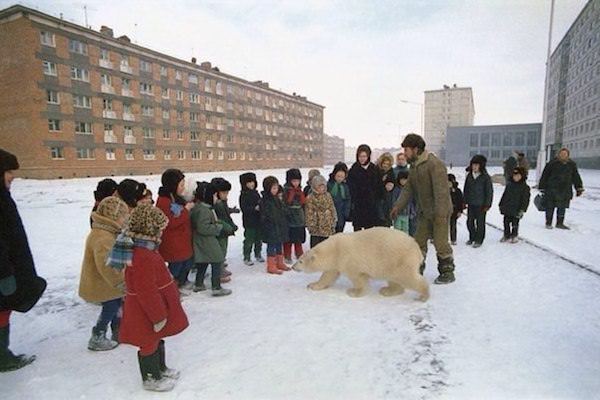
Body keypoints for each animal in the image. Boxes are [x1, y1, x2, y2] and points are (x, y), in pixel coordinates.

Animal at [292, 227, 428, 302]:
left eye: (300, 261)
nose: (293, 267)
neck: (334, 249)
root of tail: (417, 250)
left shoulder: (348, 259)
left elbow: (358, 277)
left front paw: (353, 292)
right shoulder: (336, 263)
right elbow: (328, 275)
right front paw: (312, 285)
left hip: (399, 259)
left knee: (407, 277)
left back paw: (423, 296)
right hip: (392, 264)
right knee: (394, 279)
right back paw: (387, 290)